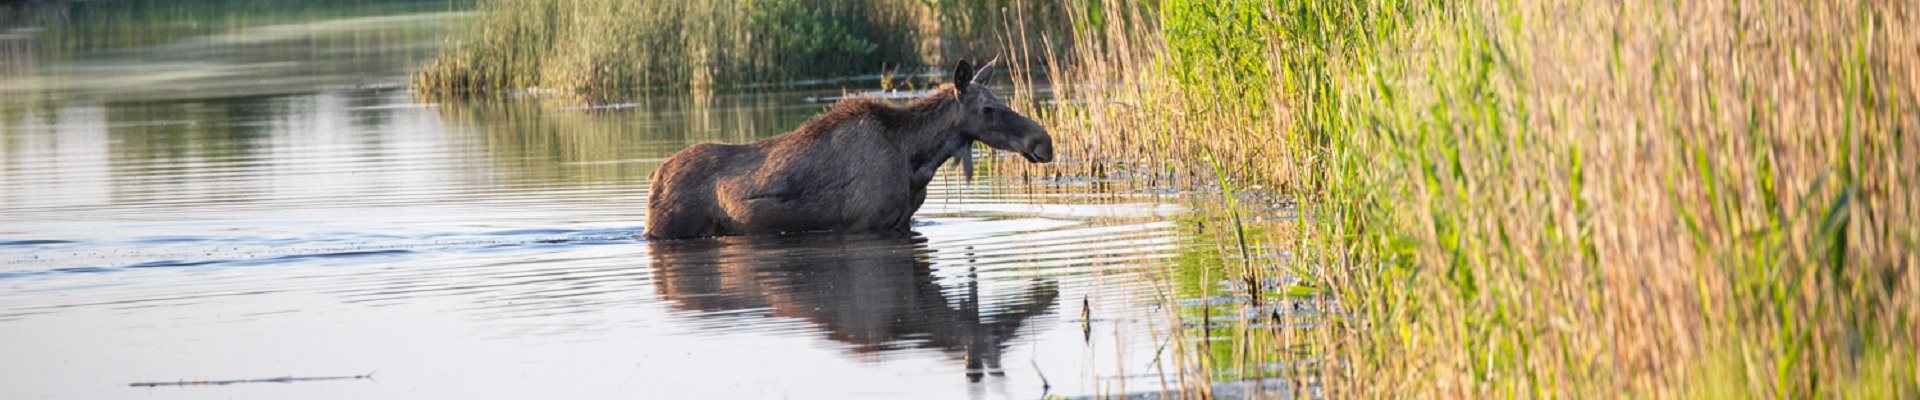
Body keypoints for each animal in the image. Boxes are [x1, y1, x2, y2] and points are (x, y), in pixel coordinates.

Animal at [652, 61, 1059, 239]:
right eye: (988, 109)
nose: (1044, 141)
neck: (916, 158)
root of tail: (656, 174)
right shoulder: (866, 222)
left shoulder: (901, 221)